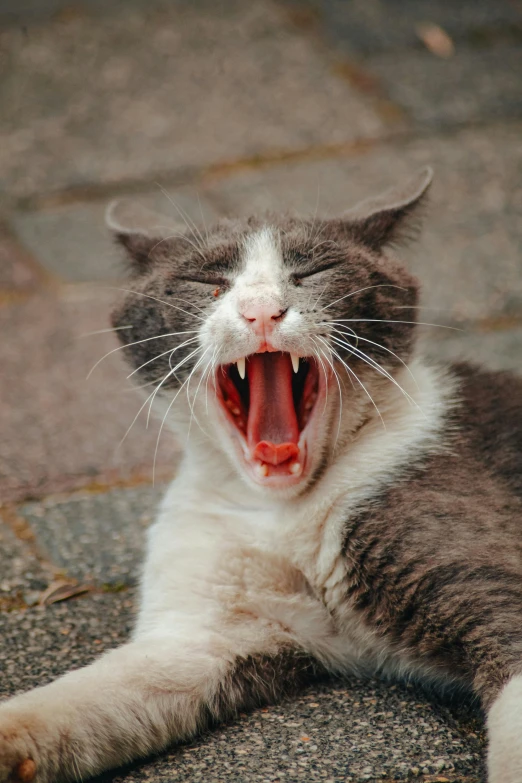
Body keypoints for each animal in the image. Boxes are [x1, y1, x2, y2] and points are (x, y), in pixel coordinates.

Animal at [1, 167, 520, 783]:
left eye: (314, 272)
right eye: (206, 280)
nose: (262, 311)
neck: (283, 508)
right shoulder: (204, 632)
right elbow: (89, 697)